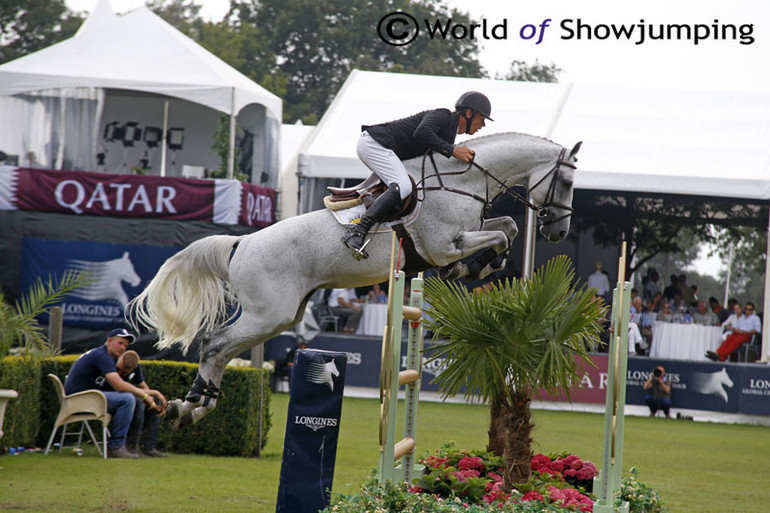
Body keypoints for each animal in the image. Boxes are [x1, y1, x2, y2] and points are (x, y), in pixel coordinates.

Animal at [129, 131, 580, 424]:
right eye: (568, 180)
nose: (558, 232)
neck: (463, 181)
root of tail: (242, 244)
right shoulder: (445, 244)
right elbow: (500, 235)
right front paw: (471, 266)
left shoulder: (469, 232)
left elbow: (508, 227)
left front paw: (480, 266)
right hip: (268, 314)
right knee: (214, 344)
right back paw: (192, 404)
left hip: (281, 316)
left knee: (221, 350)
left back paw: (194, 406)